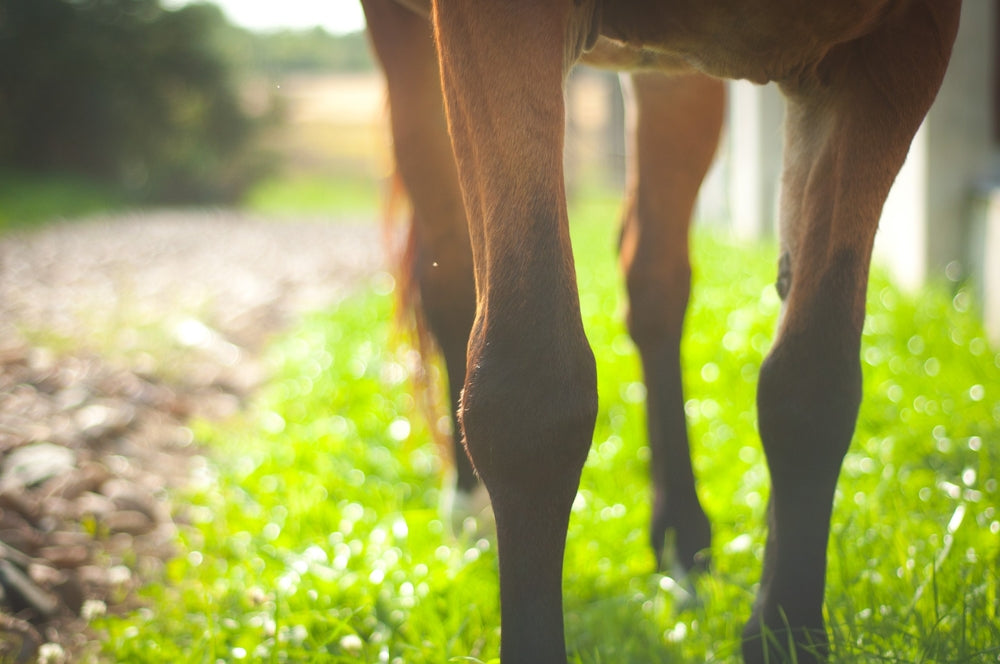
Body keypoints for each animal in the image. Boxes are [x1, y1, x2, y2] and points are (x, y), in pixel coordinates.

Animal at [360, 1, 962, 662]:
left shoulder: (895, 53)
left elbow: (812, 387)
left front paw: (785, 631)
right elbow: (529, 397)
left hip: (677, 74)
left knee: (654, 281)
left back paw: (680, 535)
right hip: (408, 42)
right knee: (446, 273)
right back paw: (469, 507)